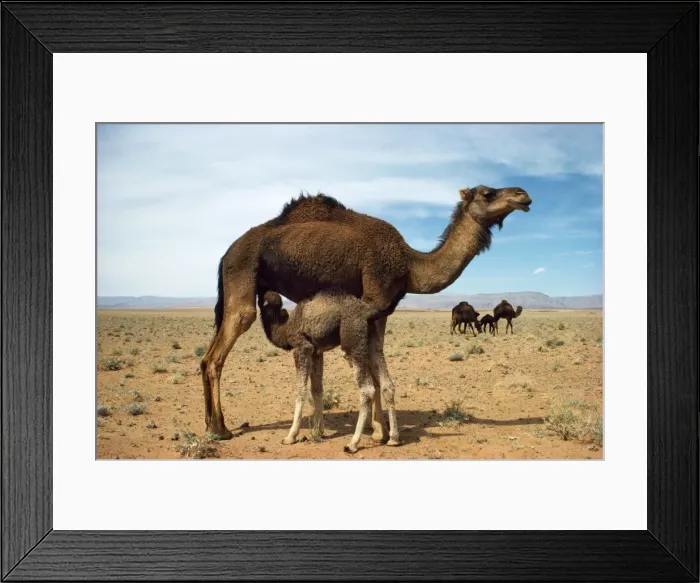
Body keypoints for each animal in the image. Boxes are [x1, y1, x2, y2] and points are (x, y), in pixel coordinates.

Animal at [258, 290, 399, 453]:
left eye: (263, 305)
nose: (258, 308)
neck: (285, 328)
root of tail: (368, 311)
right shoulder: (316, 353)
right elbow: (317, 390)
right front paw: (318, 431)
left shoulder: (302, 347)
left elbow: (301, 390)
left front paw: (290, 436)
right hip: (372, 340)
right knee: (387, 385)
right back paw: (393, 439)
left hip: (353, 341)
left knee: (367, 389)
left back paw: (352, 443)